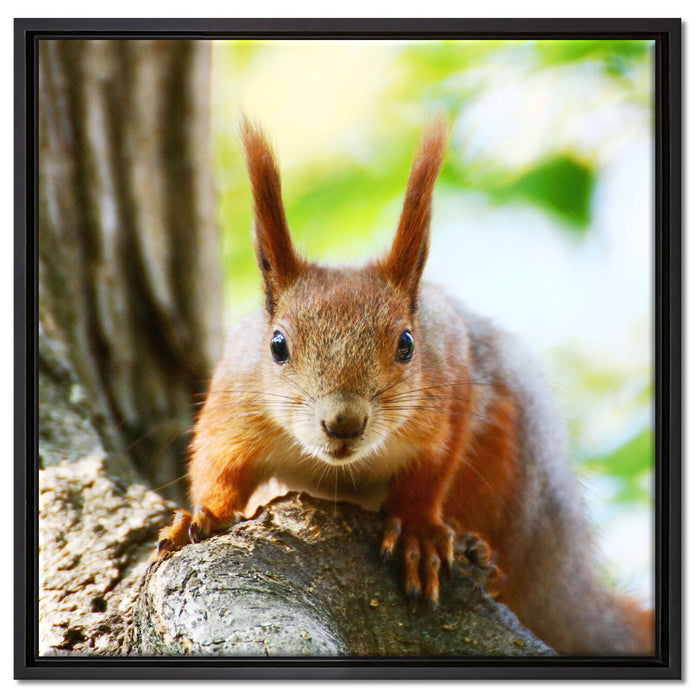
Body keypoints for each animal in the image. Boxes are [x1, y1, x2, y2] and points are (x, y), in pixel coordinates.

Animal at [155, 116, 654, 656]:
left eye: (407, 343)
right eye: (278, 345)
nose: (344, 422)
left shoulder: (450, 387)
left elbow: (431, 469)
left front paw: (418, 531)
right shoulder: (235, 401)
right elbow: (218, 465)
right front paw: (203, 515)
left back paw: (482, 555)